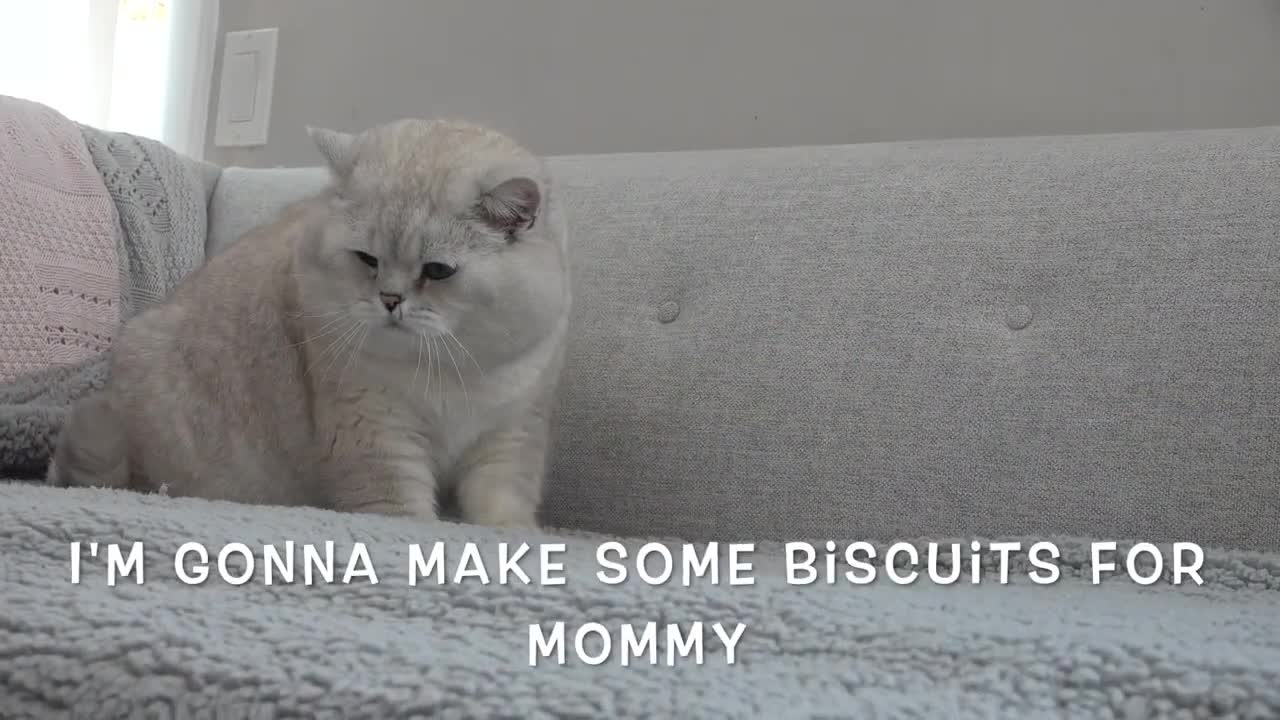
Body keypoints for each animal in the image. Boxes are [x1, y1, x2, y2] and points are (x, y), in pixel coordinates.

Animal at [48, 119, 570, 527]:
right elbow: (404, 515)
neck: (449, 370)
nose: (390, 300)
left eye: (438, 271)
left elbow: (503, 505)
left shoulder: (511, 435)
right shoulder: (377, 436)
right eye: (367, 259)